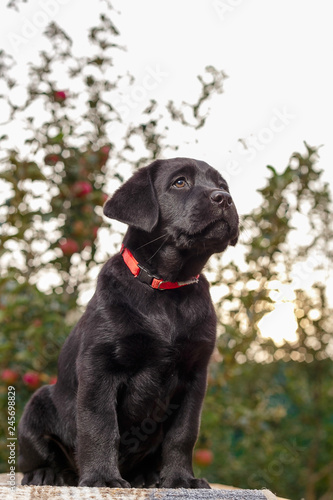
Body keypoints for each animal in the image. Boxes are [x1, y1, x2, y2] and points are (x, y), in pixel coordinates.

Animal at [18, 157, 239, 488]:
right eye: (180, 183)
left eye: (222, 185)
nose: (224, 198)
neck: (166, 289)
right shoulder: (99, 367)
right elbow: (100, 426)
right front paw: (102, 478)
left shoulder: (195, 375)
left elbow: (183, 434)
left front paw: (181, 479)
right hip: (39, 402)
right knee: (38, 455)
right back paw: (46, 473)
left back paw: (146, 476)